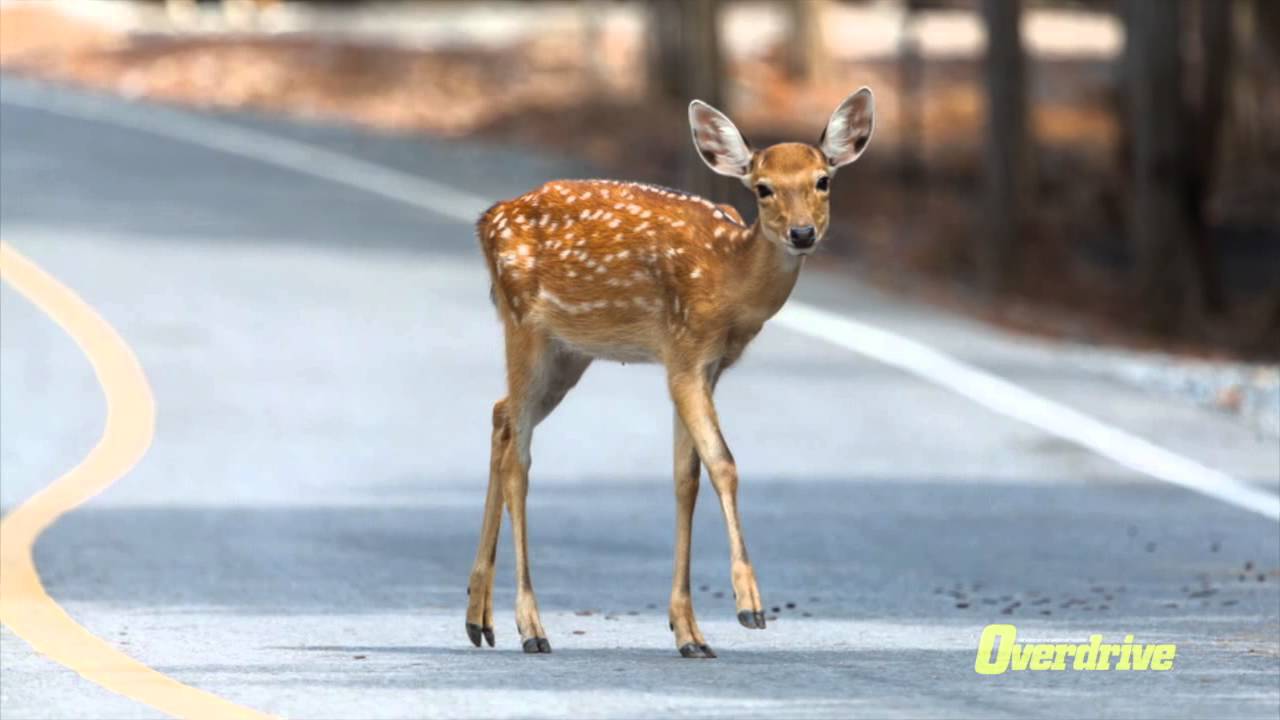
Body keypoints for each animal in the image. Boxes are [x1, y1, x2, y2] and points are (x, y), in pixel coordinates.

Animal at [466, 88, 875, 658]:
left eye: (823, 180)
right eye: (763, 187)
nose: (802, 233)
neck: (729, 282)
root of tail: (486, 221)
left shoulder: (706, 366)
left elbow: (687, 477)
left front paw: (689, 632)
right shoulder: (683, 353)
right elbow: (724, 464)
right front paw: (749, 606)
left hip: (568, 352)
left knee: (501, 415)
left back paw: (478, 618)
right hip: (524, 322)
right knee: (519, 458)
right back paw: (531, 626)